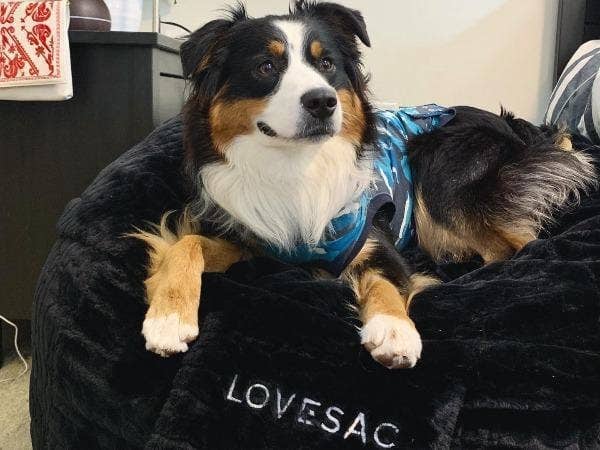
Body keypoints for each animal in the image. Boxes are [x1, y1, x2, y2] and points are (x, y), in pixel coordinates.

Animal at [134, 1, 596, 370]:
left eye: (326, 65)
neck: (296, 165)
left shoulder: (373, 234)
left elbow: (388, 280)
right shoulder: (252, 236)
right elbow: (185, 244)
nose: (322, 101)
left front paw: (395, 331)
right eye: (265, 67)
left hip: (441, 168)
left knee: (518, 246)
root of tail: (518, 131)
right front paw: (168, 318)